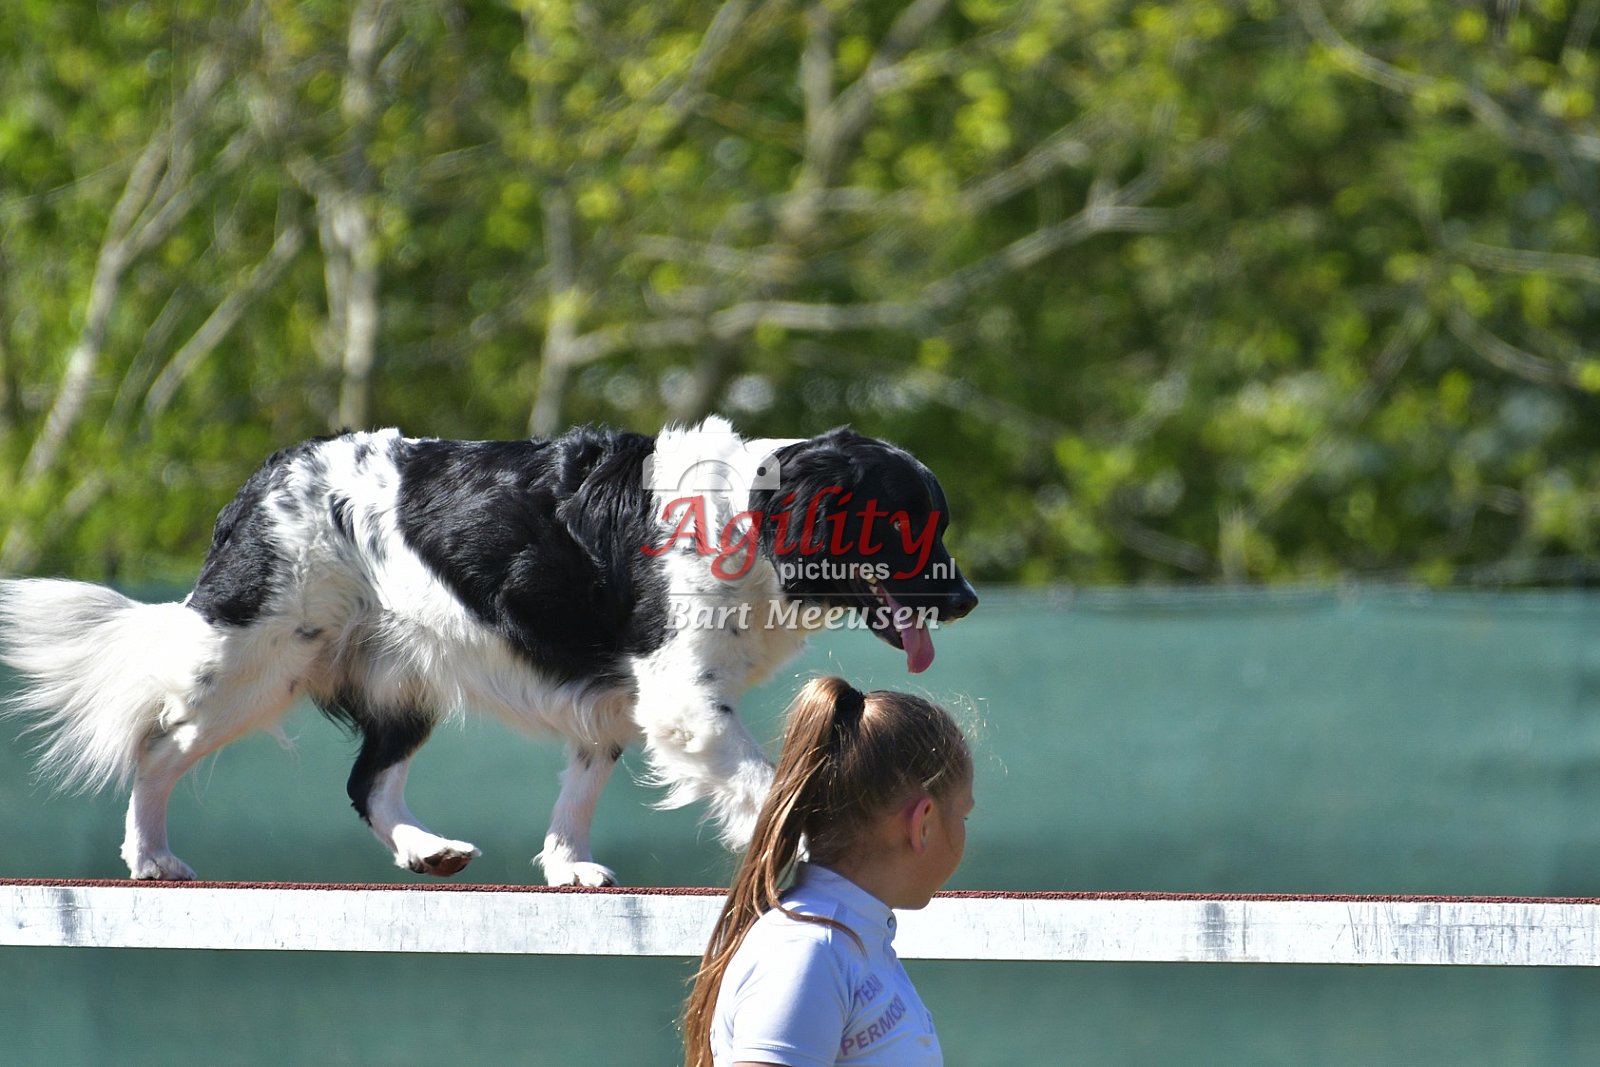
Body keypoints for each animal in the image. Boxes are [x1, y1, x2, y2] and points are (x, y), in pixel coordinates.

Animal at [0, 416, 977, 884]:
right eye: (909, 526)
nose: (966, 597)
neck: (753, 515)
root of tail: (265, 476)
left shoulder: (614, 700)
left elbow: (581, 786)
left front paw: (568, 867)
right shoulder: (684, 699)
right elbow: (767, 782)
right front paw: (808, 849)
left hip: (401, 679)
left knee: (368, 781)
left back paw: (427, 850)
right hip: (253, 661)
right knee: (158, 743)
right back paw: (149, 856)